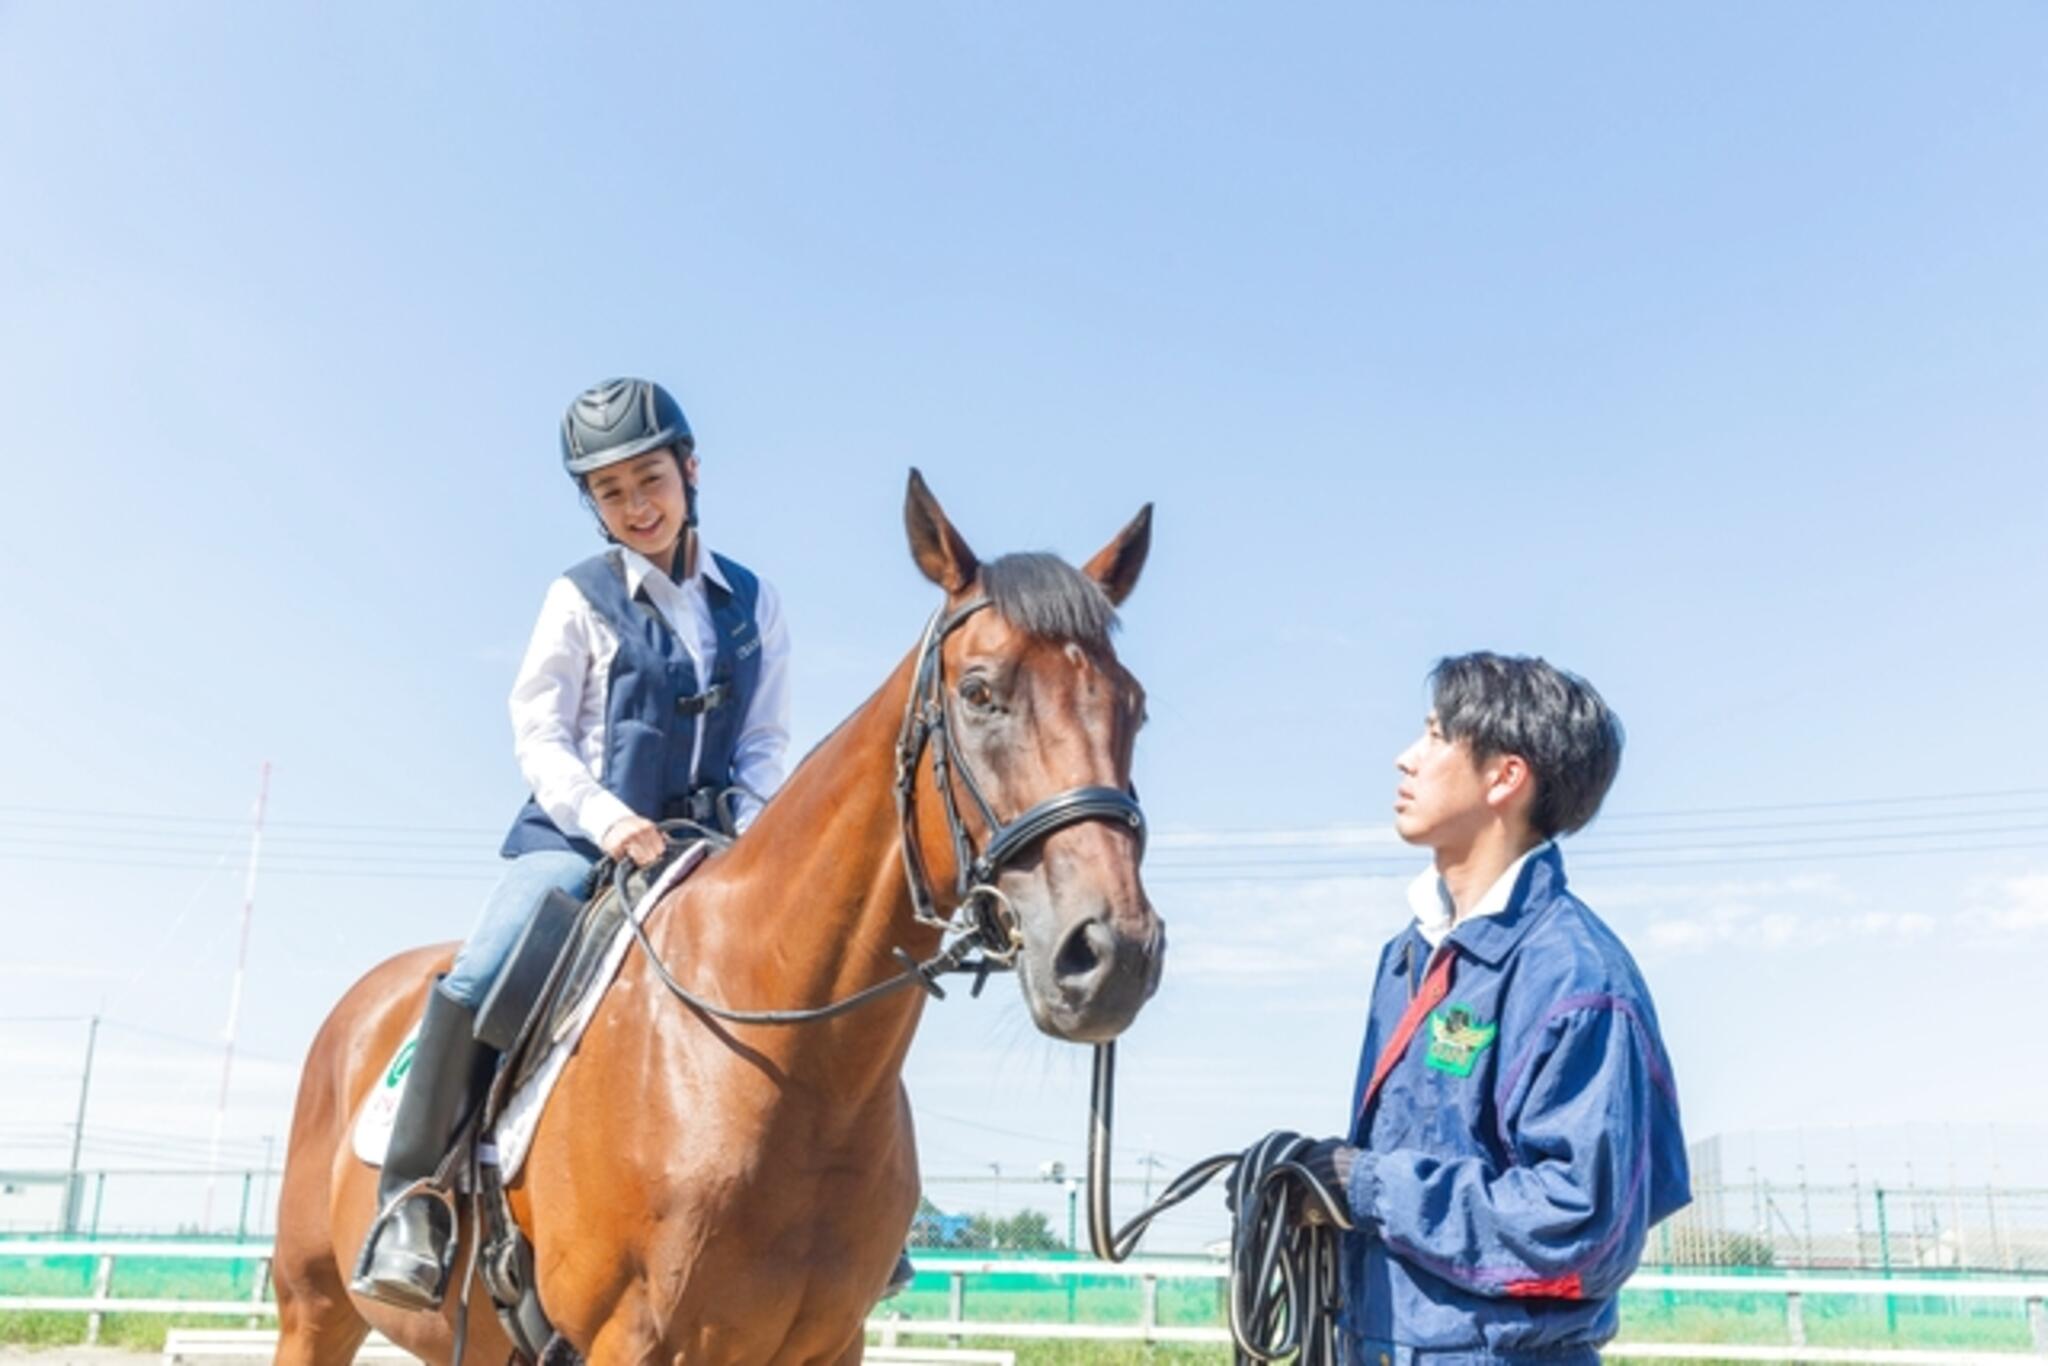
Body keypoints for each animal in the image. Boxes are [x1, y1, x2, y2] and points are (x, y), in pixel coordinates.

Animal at [274, 473, 1171, 1366]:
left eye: (1135, 706)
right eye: (980, 693)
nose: (1113, 953)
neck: (795, 1066)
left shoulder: (831, 1345)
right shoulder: (632, 1340)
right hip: (315, 1312)